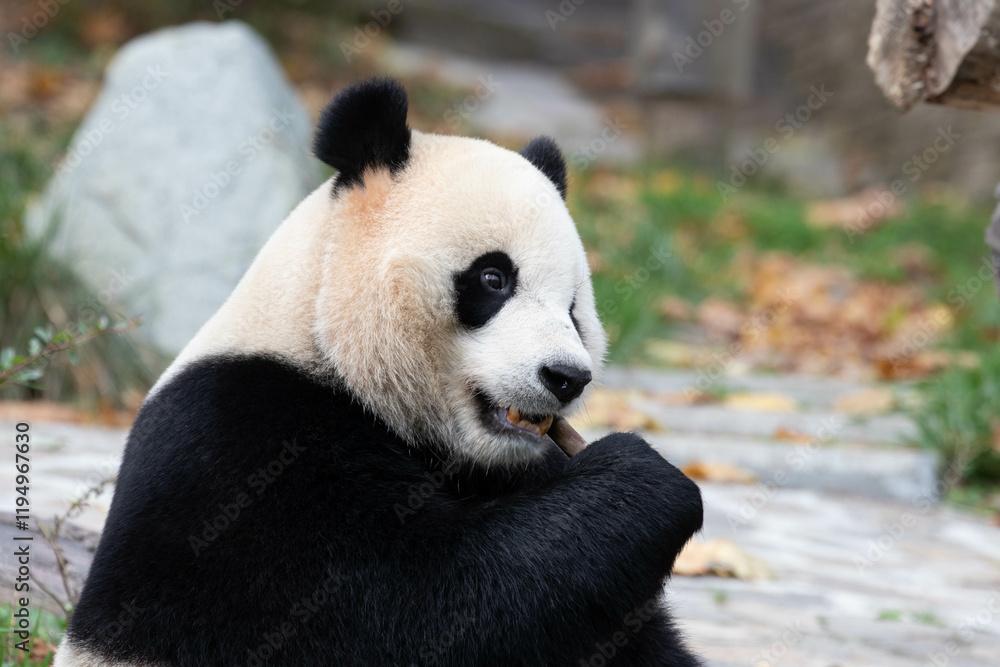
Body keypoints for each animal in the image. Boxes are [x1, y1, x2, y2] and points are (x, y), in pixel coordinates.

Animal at [55, 78, 704, 667]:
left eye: (573, 309)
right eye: (494, 278)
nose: (566, 377)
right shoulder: (244, 451)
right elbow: (415, 607)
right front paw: (646, 479)